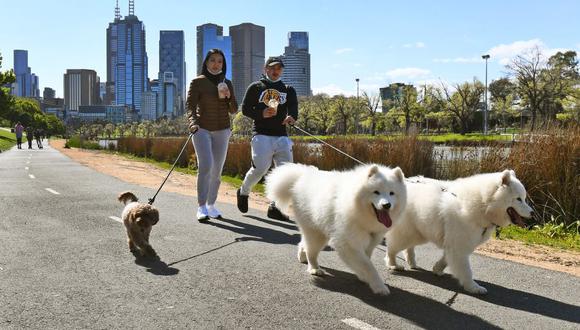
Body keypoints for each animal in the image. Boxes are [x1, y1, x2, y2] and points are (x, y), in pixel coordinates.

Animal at [266, 164, 406, 296]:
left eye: (392, 193)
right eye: (376, 192)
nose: (386, 205)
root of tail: (302, 176)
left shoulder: (370, 242)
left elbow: (366, 260)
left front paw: (364, 277)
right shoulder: (348, 243)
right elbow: (368, 265)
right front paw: (379, 286)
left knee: (304, 243)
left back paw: (302, 256)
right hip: (317, 234)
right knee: (311, 252)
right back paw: (314, 268)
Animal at [386, 170, 536, 294]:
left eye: (524, 198)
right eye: (518, 199)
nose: (532, 213)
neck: (484, 205)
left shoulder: (455, 243)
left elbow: (446, 259)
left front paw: (437, 269)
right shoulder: (460, 244)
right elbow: (466, 270)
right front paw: (473, 287)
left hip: (418, 232)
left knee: (408, 247)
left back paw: (411, 262)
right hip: (408, 233)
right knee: (392, 248)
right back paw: (393, 264)